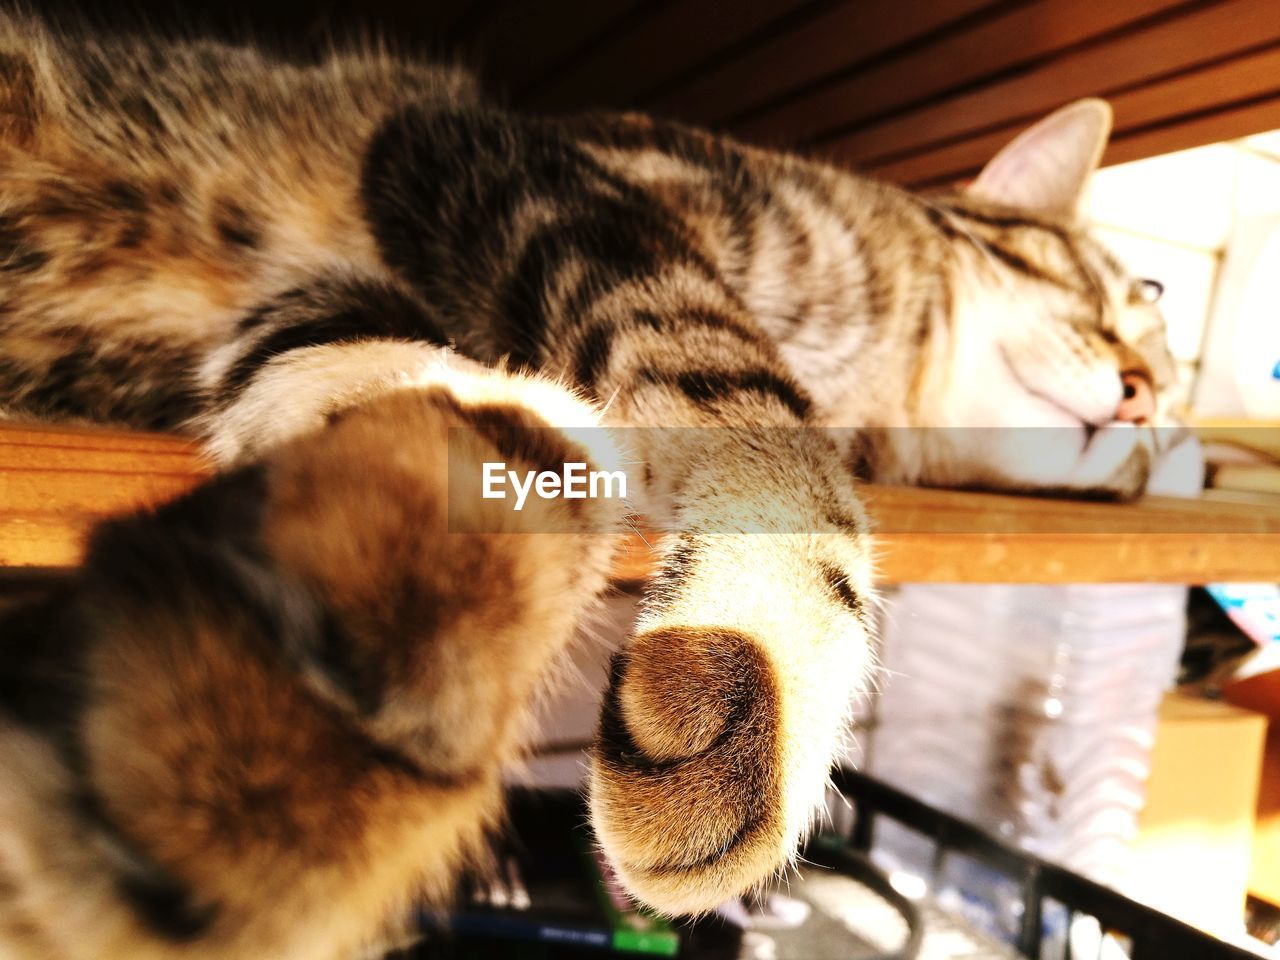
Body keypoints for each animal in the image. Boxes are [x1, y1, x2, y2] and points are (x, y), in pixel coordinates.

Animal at [0, 15, 1177, 960]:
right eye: (1106, 298)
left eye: (1163, 406)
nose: (1139, 400)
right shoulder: (531, 169)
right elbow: (733, 382)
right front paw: (772, 645)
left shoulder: (329, 297)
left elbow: (394, 392)